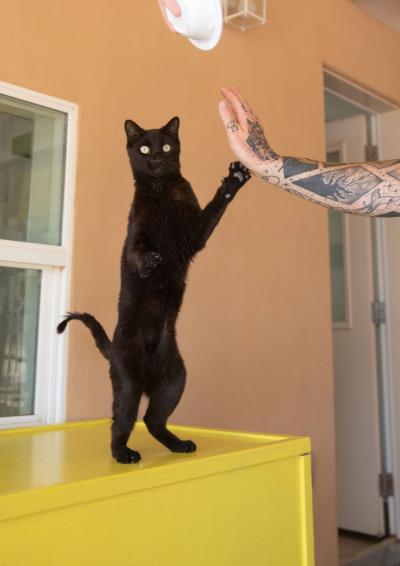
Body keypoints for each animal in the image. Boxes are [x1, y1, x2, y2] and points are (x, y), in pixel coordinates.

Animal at [57, 116, 250, 466]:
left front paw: (235, 179)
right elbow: (135, 252)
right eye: (145, 148)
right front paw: (148, 263)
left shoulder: (195, 233)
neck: (163, 193)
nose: (157, 158)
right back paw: (124, 454)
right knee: (121, 423)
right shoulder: (136, 231)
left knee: (152, 420)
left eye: (167, 145)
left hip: (175, 379)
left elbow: (216, 206)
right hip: (127, 385)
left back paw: (179, 445)